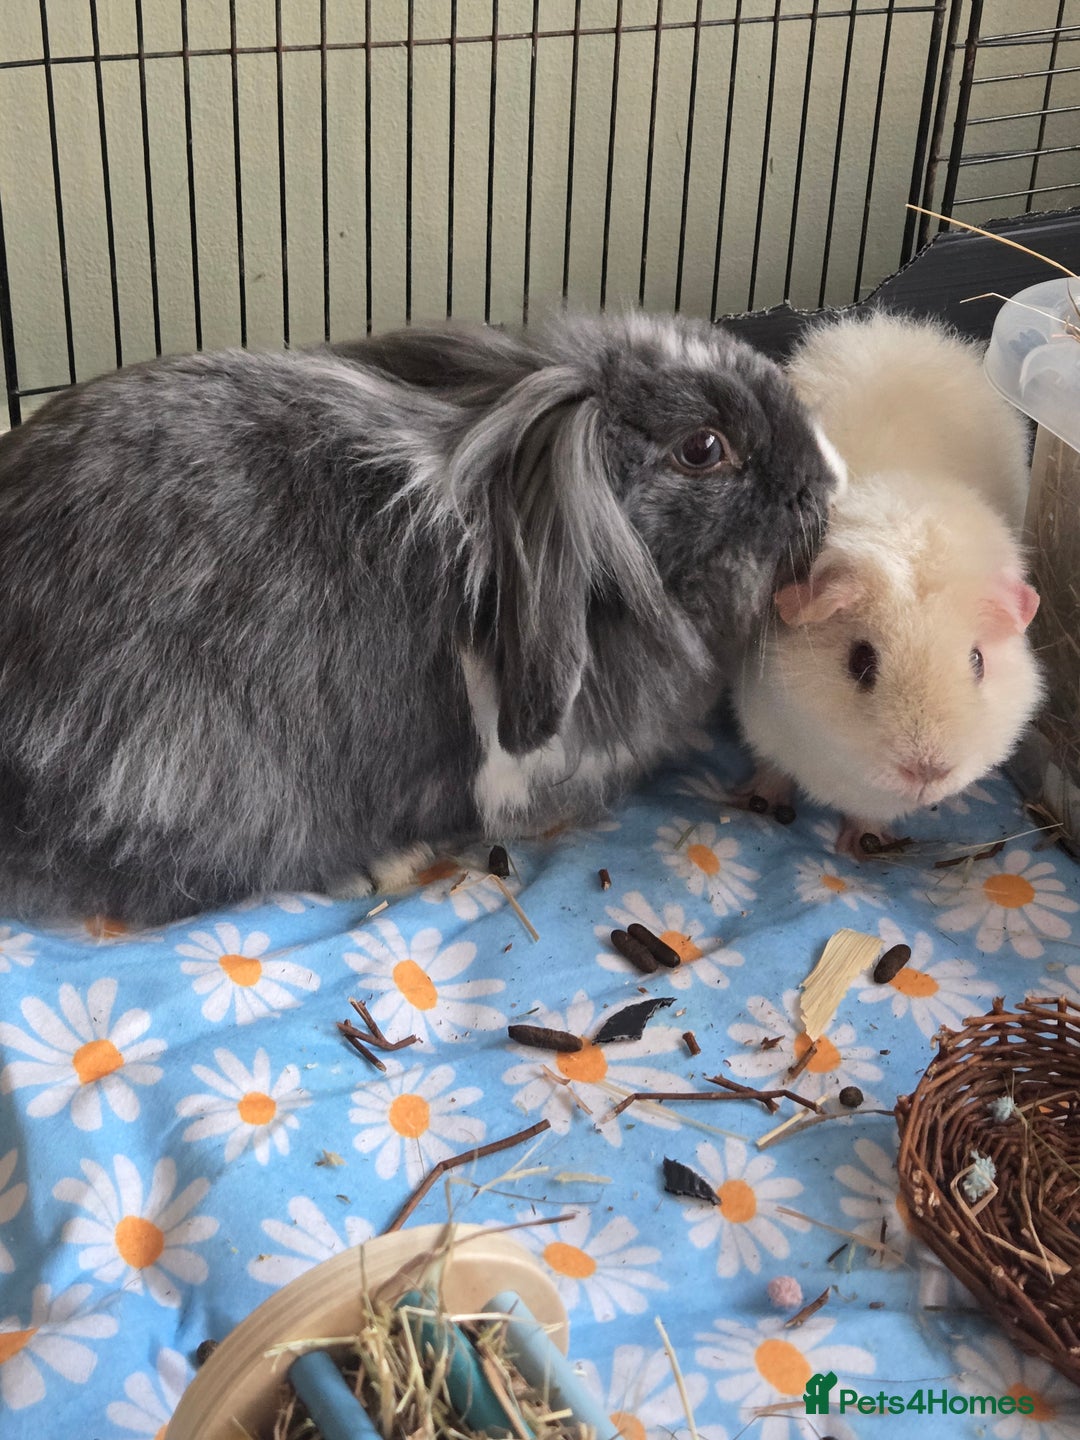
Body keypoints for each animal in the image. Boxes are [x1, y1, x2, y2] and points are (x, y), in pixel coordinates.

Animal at [733, 310, 1044, 858]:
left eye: (978, 661)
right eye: (860, 662)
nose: (927, 769)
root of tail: (899, 325)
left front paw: (863, 844)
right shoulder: (763, 723)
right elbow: (773, 768)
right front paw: (759, 803)